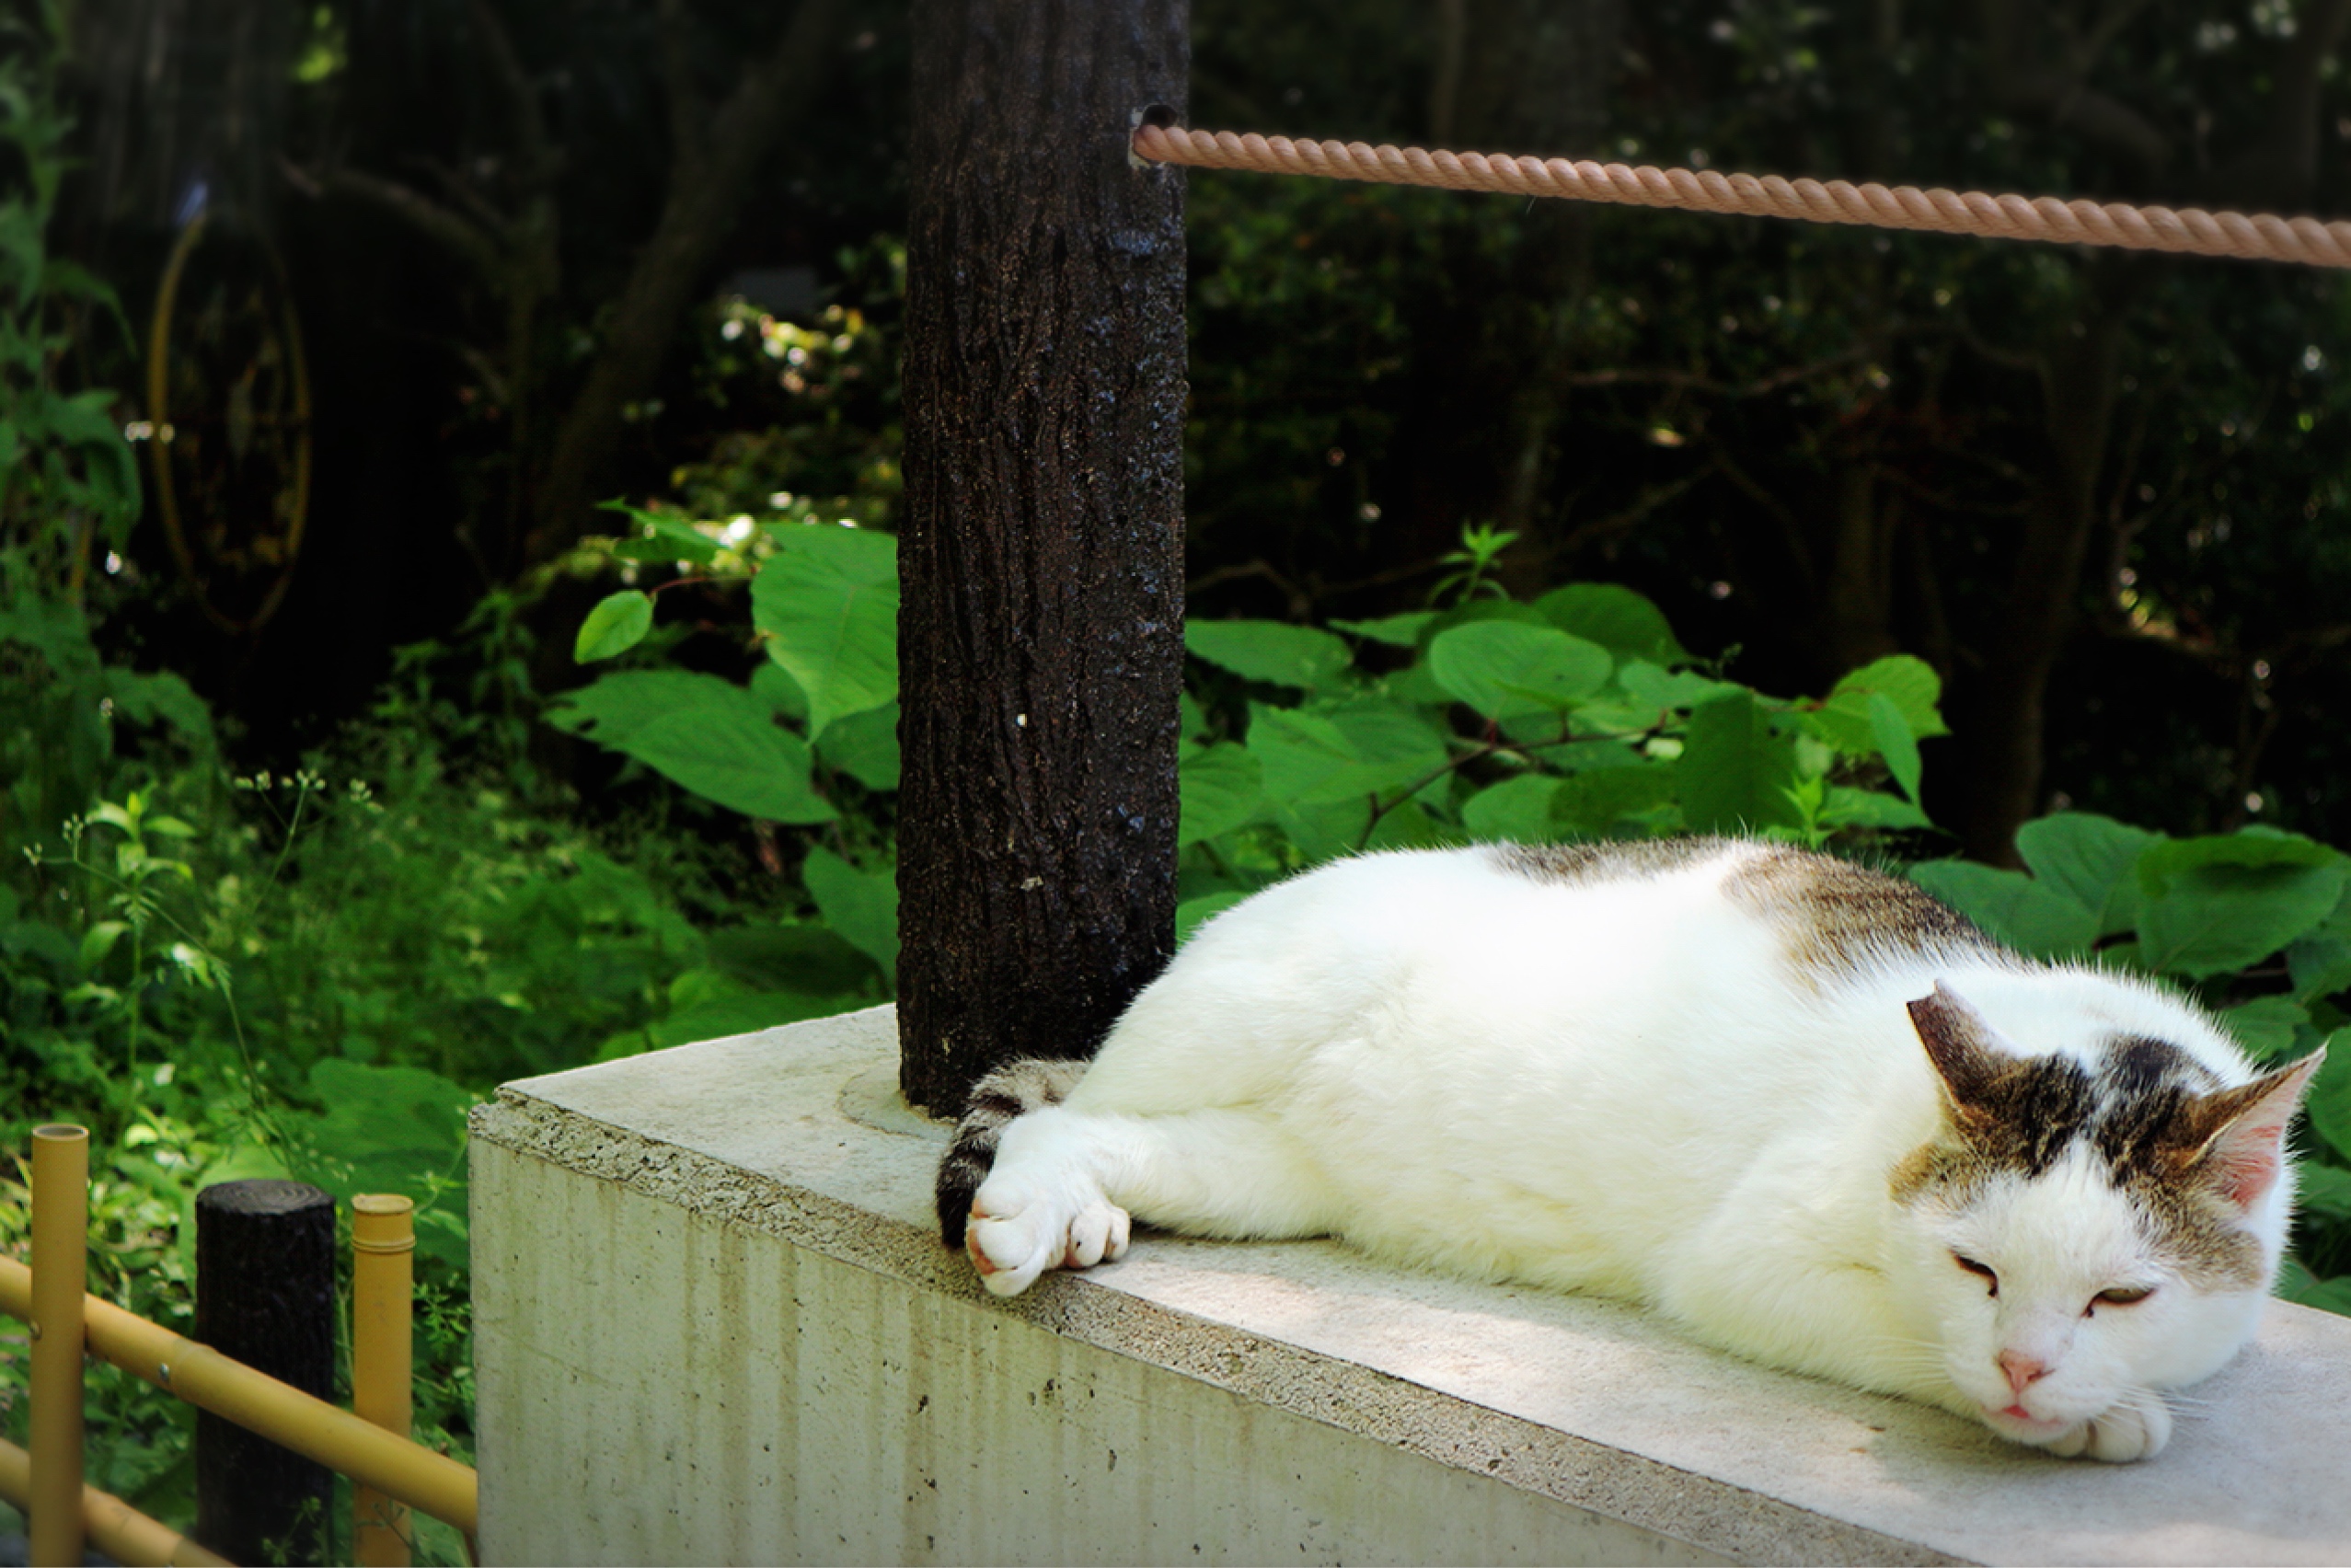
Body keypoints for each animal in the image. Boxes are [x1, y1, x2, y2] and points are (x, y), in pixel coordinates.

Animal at [930, 841, 2313, 1467]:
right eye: (1974, 1270)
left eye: (2119, 1295)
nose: (2026, 1367)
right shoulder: (1743, 1263)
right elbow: (1901, 1338)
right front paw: (2097, 1418)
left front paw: (2083, 1400)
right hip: (1251, 1004)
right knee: (1056, 1107)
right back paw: (1032, 1203)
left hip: (1267, 1174)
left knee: (1108, 1130)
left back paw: (1075, 1206)